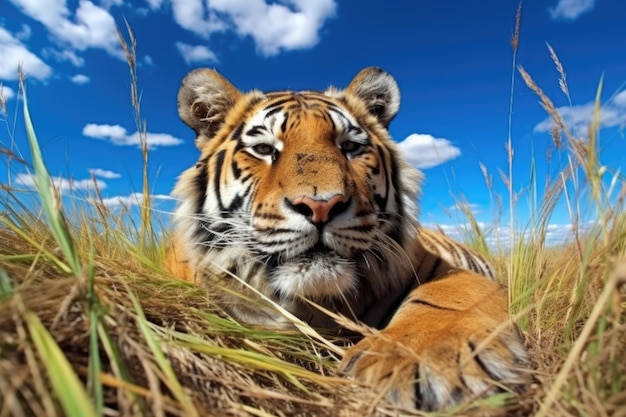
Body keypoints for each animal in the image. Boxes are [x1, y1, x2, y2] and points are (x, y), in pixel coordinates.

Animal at [166, 66, 528, 408]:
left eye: (350, 147)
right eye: (264, 149)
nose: (321, 205)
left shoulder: (440, 268)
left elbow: (443, 296)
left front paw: (423, 358)